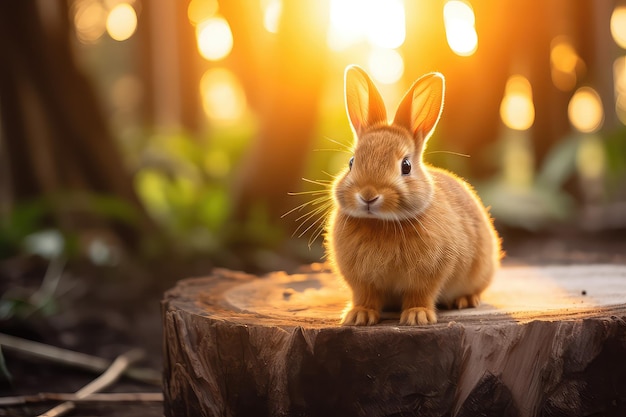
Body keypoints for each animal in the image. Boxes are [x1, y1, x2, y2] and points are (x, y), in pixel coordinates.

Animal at [324, 65, 500, 324]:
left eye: (406, 166)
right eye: (351, 162)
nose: (368, 195)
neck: (381, 223)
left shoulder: (430, 273)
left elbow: (421, 293)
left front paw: (417, 316)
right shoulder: (361, 280)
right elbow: (365, 295)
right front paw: (359, 316)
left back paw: (466, 300)